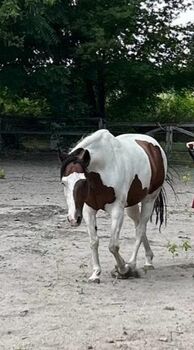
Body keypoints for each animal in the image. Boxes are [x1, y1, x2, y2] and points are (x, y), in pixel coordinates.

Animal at [59, 130, 167, 284]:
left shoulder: (117, 211)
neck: (103, 169)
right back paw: (148, 259)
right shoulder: (88, 210)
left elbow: (113, 245)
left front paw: (123, 269)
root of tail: (153, 145)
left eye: (84, 182)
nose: (73, 218)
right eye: (63, 182)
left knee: (140, 230)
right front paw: (95, 274)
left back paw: (132, 264)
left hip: (149, 200)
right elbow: (94, 242)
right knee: (139, 225)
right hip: (132, 205)